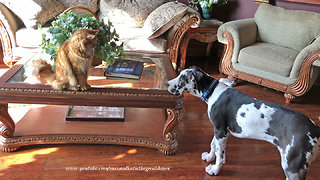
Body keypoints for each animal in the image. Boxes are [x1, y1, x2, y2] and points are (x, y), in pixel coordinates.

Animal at [166, 67, 318, 179]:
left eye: (182, 78)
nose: (167, 83)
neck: (213, 92)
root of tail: (315, 129)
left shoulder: (221, 131)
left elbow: (220, 154)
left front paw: (215, 169)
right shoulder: (219, 130)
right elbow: (213, 145)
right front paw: (209, 157)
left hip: (292, 167)